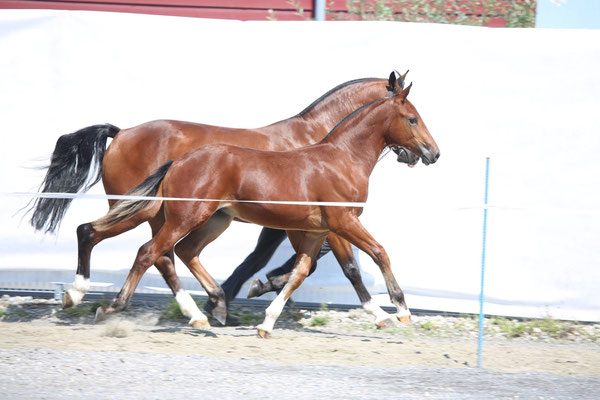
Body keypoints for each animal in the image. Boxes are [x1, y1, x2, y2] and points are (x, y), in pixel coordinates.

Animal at [28, 72, 414, 328]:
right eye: (413, 117)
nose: (419, 154)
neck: (322, 143)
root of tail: (121, 133)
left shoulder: (295, 221)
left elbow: (296, 261)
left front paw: (254, 289)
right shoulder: (314, 220)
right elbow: (333, 264)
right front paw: (254, 288)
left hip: (163, 213)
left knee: (160, 253)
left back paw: (199, 310)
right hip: (147, 210)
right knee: (134, 246)